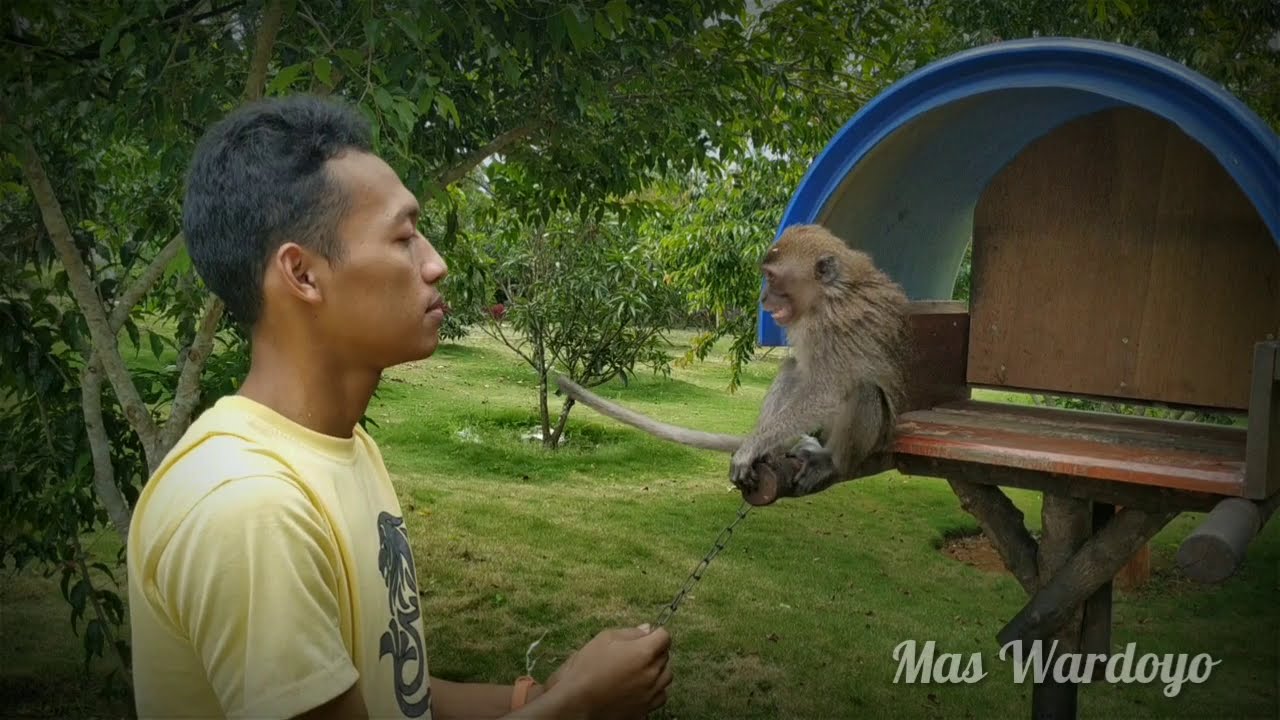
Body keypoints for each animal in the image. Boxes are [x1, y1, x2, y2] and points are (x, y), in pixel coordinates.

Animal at [557, 223, 912, 506]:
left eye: (772, 278)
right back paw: (782, 449)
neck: (825, 298)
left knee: (862, 390)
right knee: (793, 369)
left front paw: (750, 448)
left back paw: (830, 463)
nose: (764, 299)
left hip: (874, 440)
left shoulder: (832, 325)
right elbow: (802, 372)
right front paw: (757, 447)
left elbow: (825, 391)